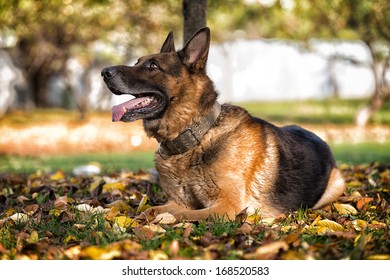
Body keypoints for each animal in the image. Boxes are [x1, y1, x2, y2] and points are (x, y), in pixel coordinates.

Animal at [102, 27, 346, 221]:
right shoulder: (177, 200)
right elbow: (152, 209)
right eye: (137, 62)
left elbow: (181, 214)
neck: (196, 136)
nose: (105, 72)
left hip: (337, 183)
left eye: (153, 66)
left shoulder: (226, 207)